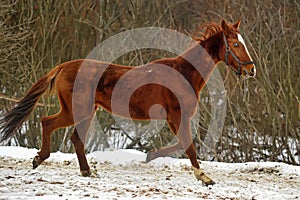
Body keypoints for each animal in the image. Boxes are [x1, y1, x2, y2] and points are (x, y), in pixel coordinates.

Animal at [0, 19, 255, 186]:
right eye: (235, 44)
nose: (251, 69)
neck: (183, 73)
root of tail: (63, 67)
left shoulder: (173, 118)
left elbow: (181, 145)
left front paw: (151, 155)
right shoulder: (176, 115)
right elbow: (189, 146)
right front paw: (204, 177)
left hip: (85, 112)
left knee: (75, 139)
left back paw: (87, 172)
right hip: (75, 111)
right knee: (47, 122)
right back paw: (39, 159)